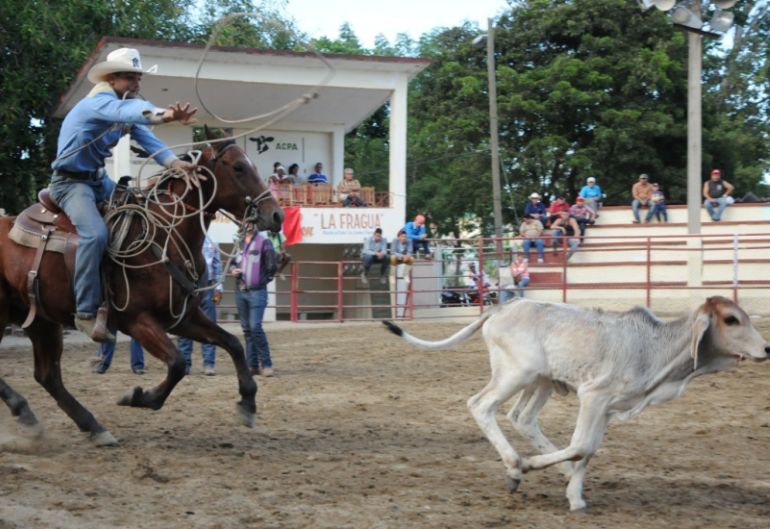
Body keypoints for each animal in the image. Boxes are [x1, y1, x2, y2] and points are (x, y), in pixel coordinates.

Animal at [0, 130, 282, 444]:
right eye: (238, 167)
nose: (276, 215)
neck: (165, 235)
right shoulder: (137, 320)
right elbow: (177, 364)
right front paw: (139, 397)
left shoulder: (182, 318)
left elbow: (232, 343)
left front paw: (248, 403)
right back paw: (28, 410)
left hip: (42, 320)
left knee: (47, 375)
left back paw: (88, 426)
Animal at [384, 294, 768, 510]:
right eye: (731, 319)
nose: (766, 348)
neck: (654, 348)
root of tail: (499, 309)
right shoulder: (593, 396)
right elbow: (581, 445)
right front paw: (533, 467)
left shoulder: (606, 409)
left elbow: (587, 450)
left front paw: (575, 496)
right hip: (515, 374)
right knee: (481, 406)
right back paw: (514, 466)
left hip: (540, 382)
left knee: (522, 418)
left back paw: (551, 471)